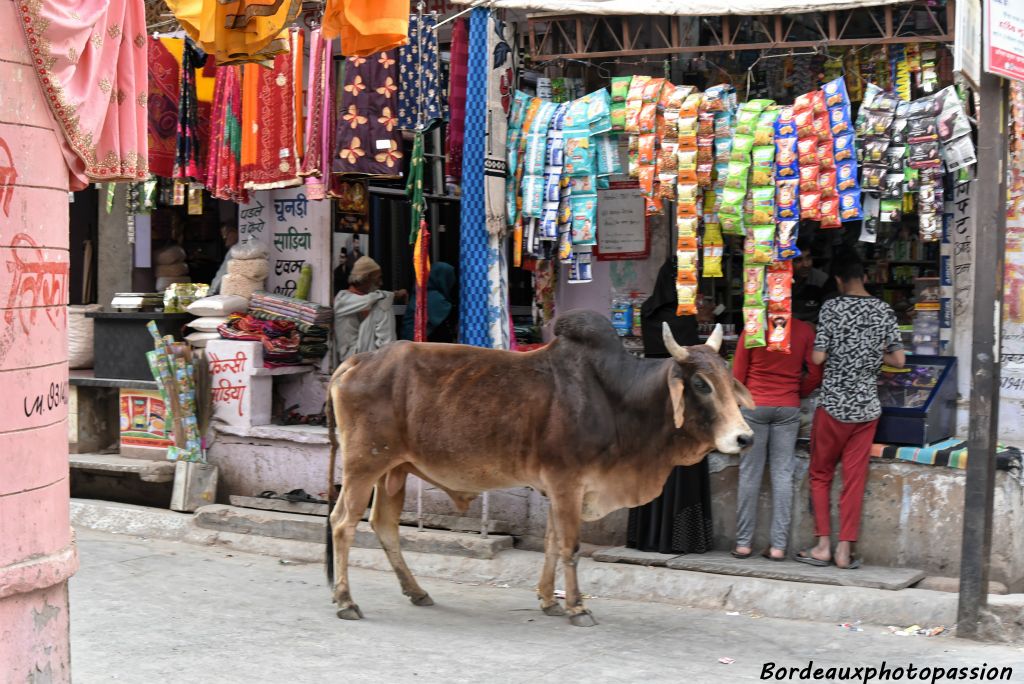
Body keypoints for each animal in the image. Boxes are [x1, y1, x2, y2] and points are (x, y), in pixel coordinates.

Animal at [325, 309, 753, 626]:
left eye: (727, 379)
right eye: (700, 384)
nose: (744, 438)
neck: (618, 401)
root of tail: (358, 360)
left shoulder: (560, 486)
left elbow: (551, 543)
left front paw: (549, 600)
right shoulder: (568, 483)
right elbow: (570, 546)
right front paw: (578, 607)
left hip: (394, 470)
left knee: (383, 525)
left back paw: (416, 591)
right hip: (364, 464)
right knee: (342, 522)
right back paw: (346, 601)